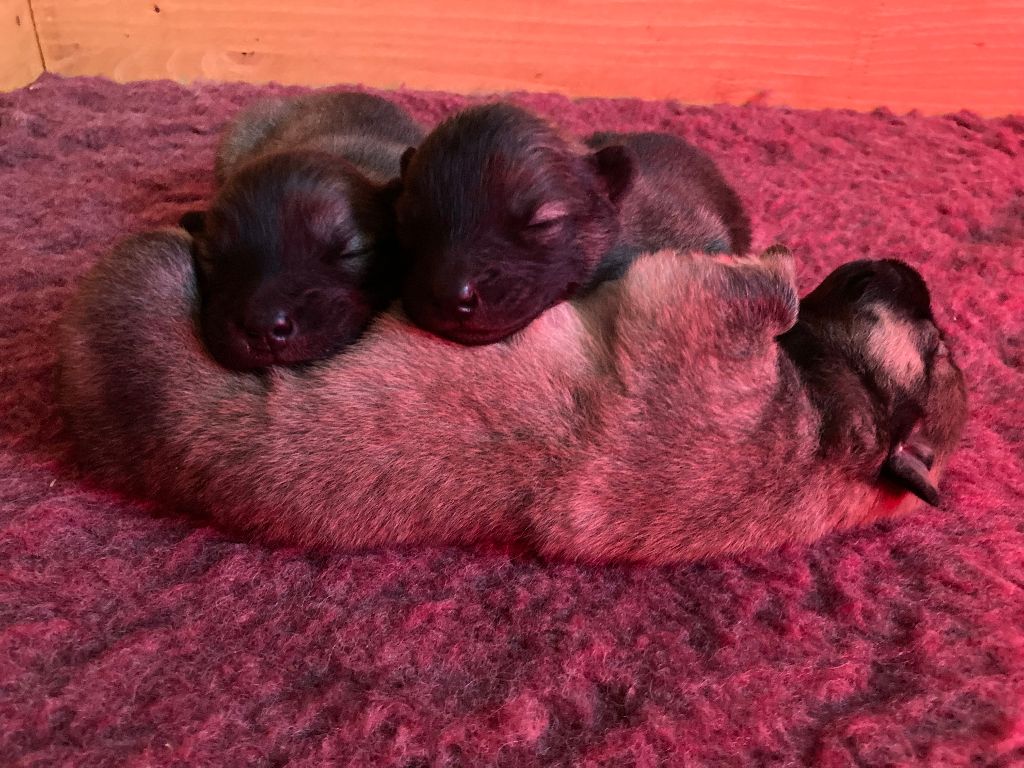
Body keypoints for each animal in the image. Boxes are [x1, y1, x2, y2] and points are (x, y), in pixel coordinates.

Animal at [58, 234, 966, 565]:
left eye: (935, 346)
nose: (909, 271)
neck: (841, 429)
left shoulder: (700, 319)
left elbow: (759, 288)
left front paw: (767, 261)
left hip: (157, 280)